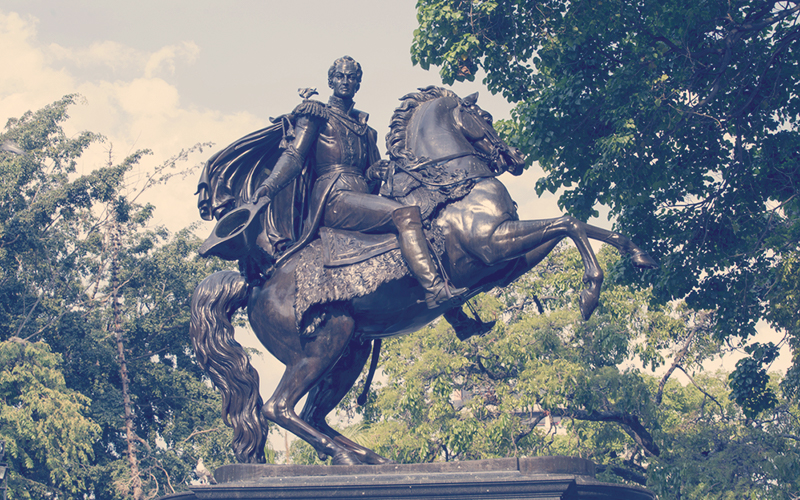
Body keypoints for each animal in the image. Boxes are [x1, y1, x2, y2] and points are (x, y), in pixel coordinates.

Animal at [189, 86, 656, 464]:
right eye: (485, 117)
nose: (517, 158)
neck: (453, 186)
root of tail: (256, 282)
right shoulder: (494, 244)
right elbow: (568, 223)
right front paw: (590, 294)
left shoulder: (506, 261)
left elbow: (575, 223)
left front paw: (637, 253)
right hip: (323, 343)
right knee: (278, 407)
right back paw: (348, 458)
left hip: (351, 350)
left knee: (313, 415)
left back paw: (371, 458)